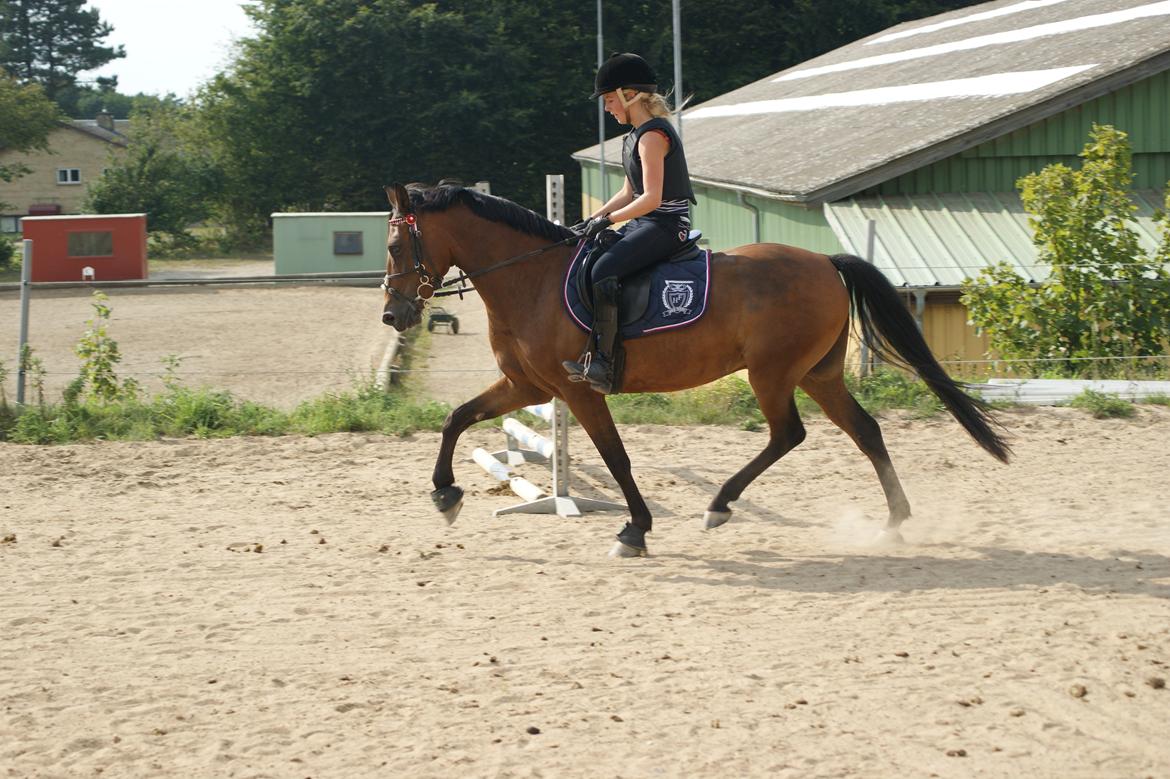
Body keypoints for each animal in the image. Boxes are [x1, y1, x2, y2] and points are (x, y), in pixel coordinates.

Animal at [379, 180, 1010, 559]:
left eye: (394, 246)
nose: (392, 314)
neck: (529, 278)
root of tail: (826, 262)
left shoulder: (577, 390)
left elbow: (616, 457)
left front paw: (634, 530)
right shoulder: (527, 385)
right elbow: (457, 418)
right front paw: (445, 495)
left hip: (773, 373)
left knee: (789, 434)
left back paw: (720, 505)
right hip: (818, 374)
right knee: (865, 431)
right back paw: (894, 521)